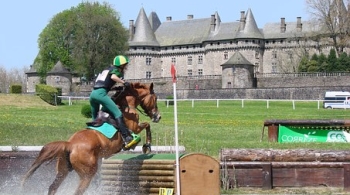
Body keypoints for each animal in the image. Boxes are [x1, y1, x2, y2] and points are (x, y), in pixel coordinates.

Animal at [22, 82, 162, 195]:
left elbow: (147, 125)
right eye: (155, 98)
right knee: (77, 192)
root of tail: (70, 145)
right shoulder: (134, 127)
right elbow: (146, 125)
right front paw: (147, 146)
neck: (126, 106)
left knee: (53, 187)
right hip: (87, 175)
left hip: (63, 171)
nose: (158, 117)